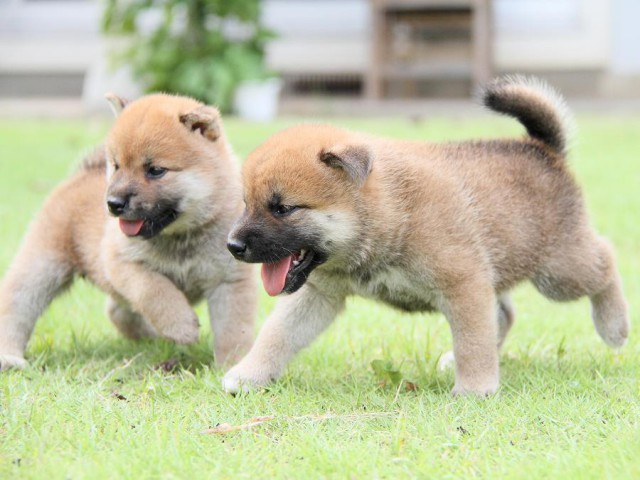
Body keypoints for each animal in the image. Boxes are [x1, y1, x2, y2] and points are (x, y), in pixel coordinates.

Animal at [0, 94, 255, 372]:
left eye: (155, 170)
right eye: (117, 166)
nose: (113, 203)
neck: (180, 237)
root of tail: (82, 174)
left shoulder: (229, 281)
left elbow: (233, 331)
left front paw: (233, 366)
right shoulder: (123, 263)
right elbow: (155, 291)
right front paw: (181, 327)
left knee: (117, 311)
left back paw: (149, 337)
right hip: (41, 266)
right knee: (16, 306)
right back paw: (9, 356)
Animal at [225, 77, 632, 396]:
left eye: (282, 208)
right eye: (245, 203)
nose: (233, 246)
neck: (389, 211)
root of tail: (542, 148)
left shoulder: (463, 283)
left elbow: (472, 340)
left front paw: (475, 388)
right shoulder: (318, 294)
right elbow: (277, 334)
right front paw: (249, 373)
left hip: (558, 273)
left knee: (605, 259)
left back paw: (614, 325)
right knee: (504, 313)